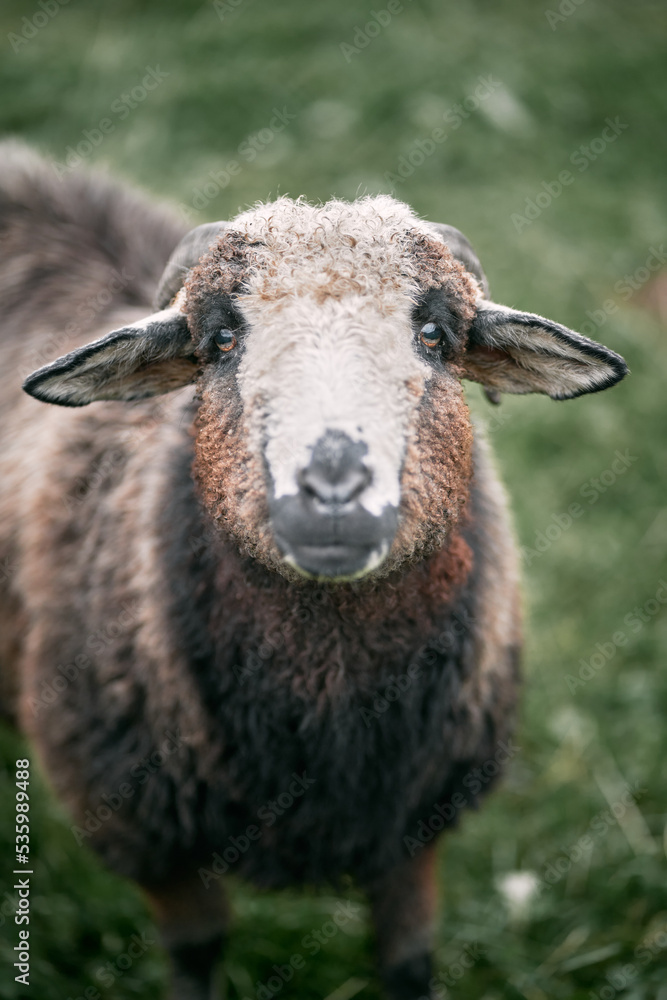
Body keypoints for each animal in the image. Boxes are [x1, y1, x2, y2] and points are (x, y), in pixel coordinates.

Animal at [0, 143, 628, 1000]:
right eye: (219, 341)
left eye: (435, 334)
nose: (333, 491)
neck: (326, 700)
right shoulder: (150, 839)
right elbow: (195, 958)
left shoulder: (411, 832)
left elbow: (408, 964)